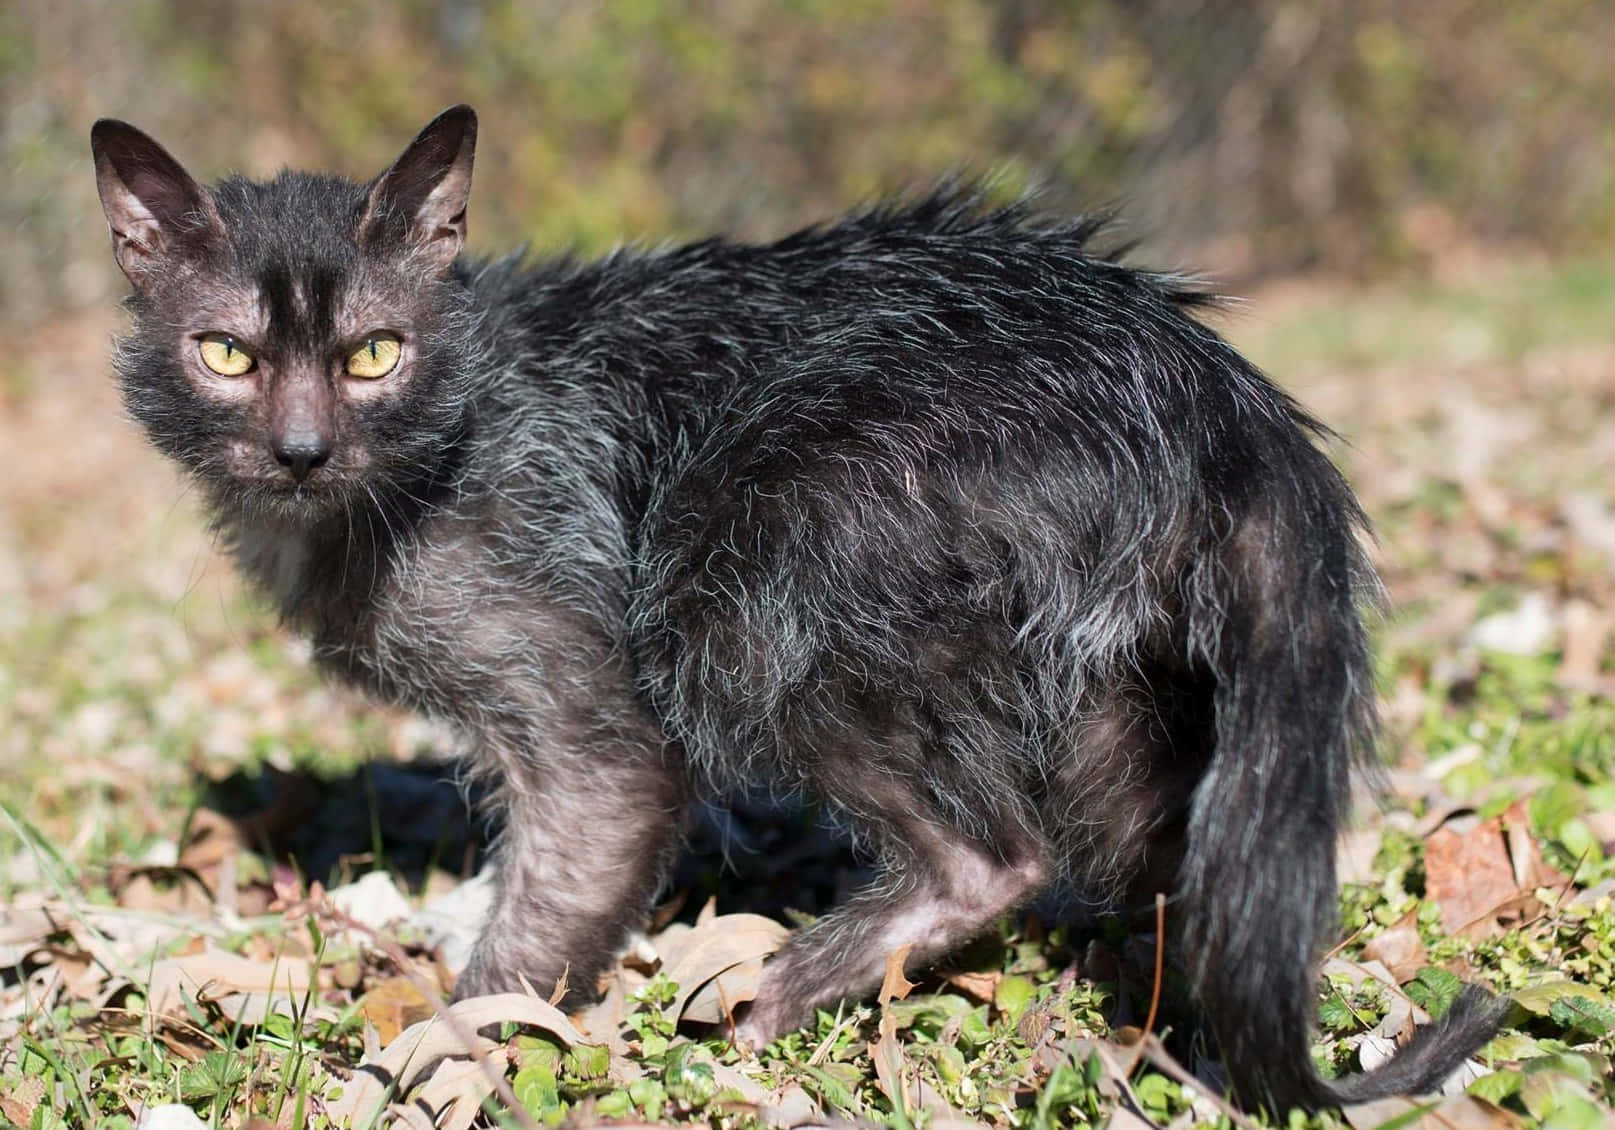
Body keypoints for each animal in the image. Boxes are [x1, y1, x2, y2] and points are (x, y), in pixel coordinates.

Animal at [88, 105, 1498, 1110]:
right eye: (226, 354)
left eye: (376, 353)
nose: (301, 449)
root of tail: (1209, 381)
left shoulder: (596, 725)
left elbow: (534, 926)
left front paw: (431, 1061)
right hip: (1106, 683)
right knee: (1152, 854)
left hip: (741, 578)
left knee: (991, 854)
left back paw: (784, 997)